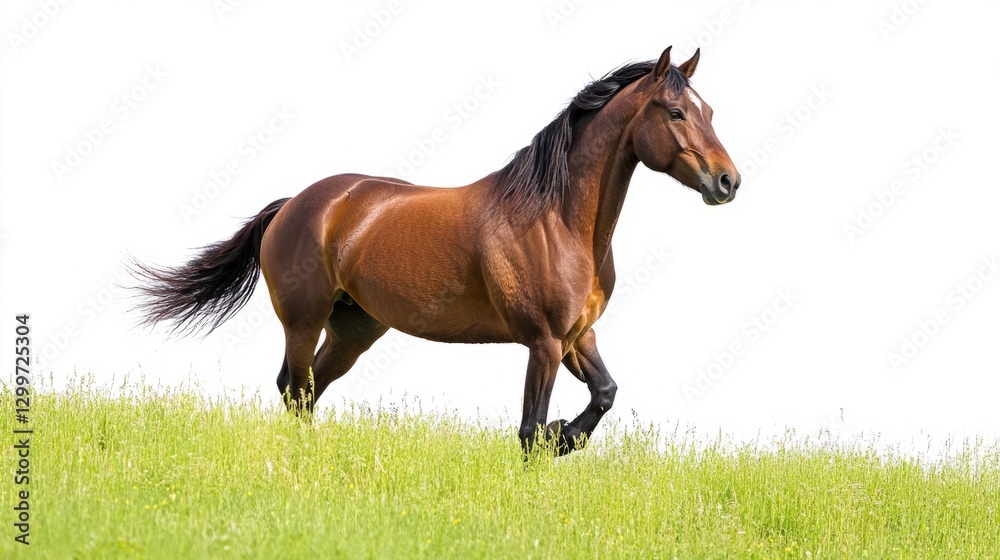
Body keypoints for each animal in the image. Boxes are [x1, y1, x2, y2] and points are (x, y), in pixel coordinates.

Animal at [131, 46, 740, 456]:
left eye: (709, 111)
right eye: (676, 112)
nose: (728, 182)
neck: (559, 219)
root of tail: (295, 204)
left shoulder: (576, 336)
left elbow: (606, 393)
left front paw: (566, 436)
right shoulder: (542, 341)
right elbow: (527, 428)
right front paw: (552, 441)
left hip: (354, 329)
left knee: (306, 391)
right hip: (304, 321)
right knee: (295, 388)